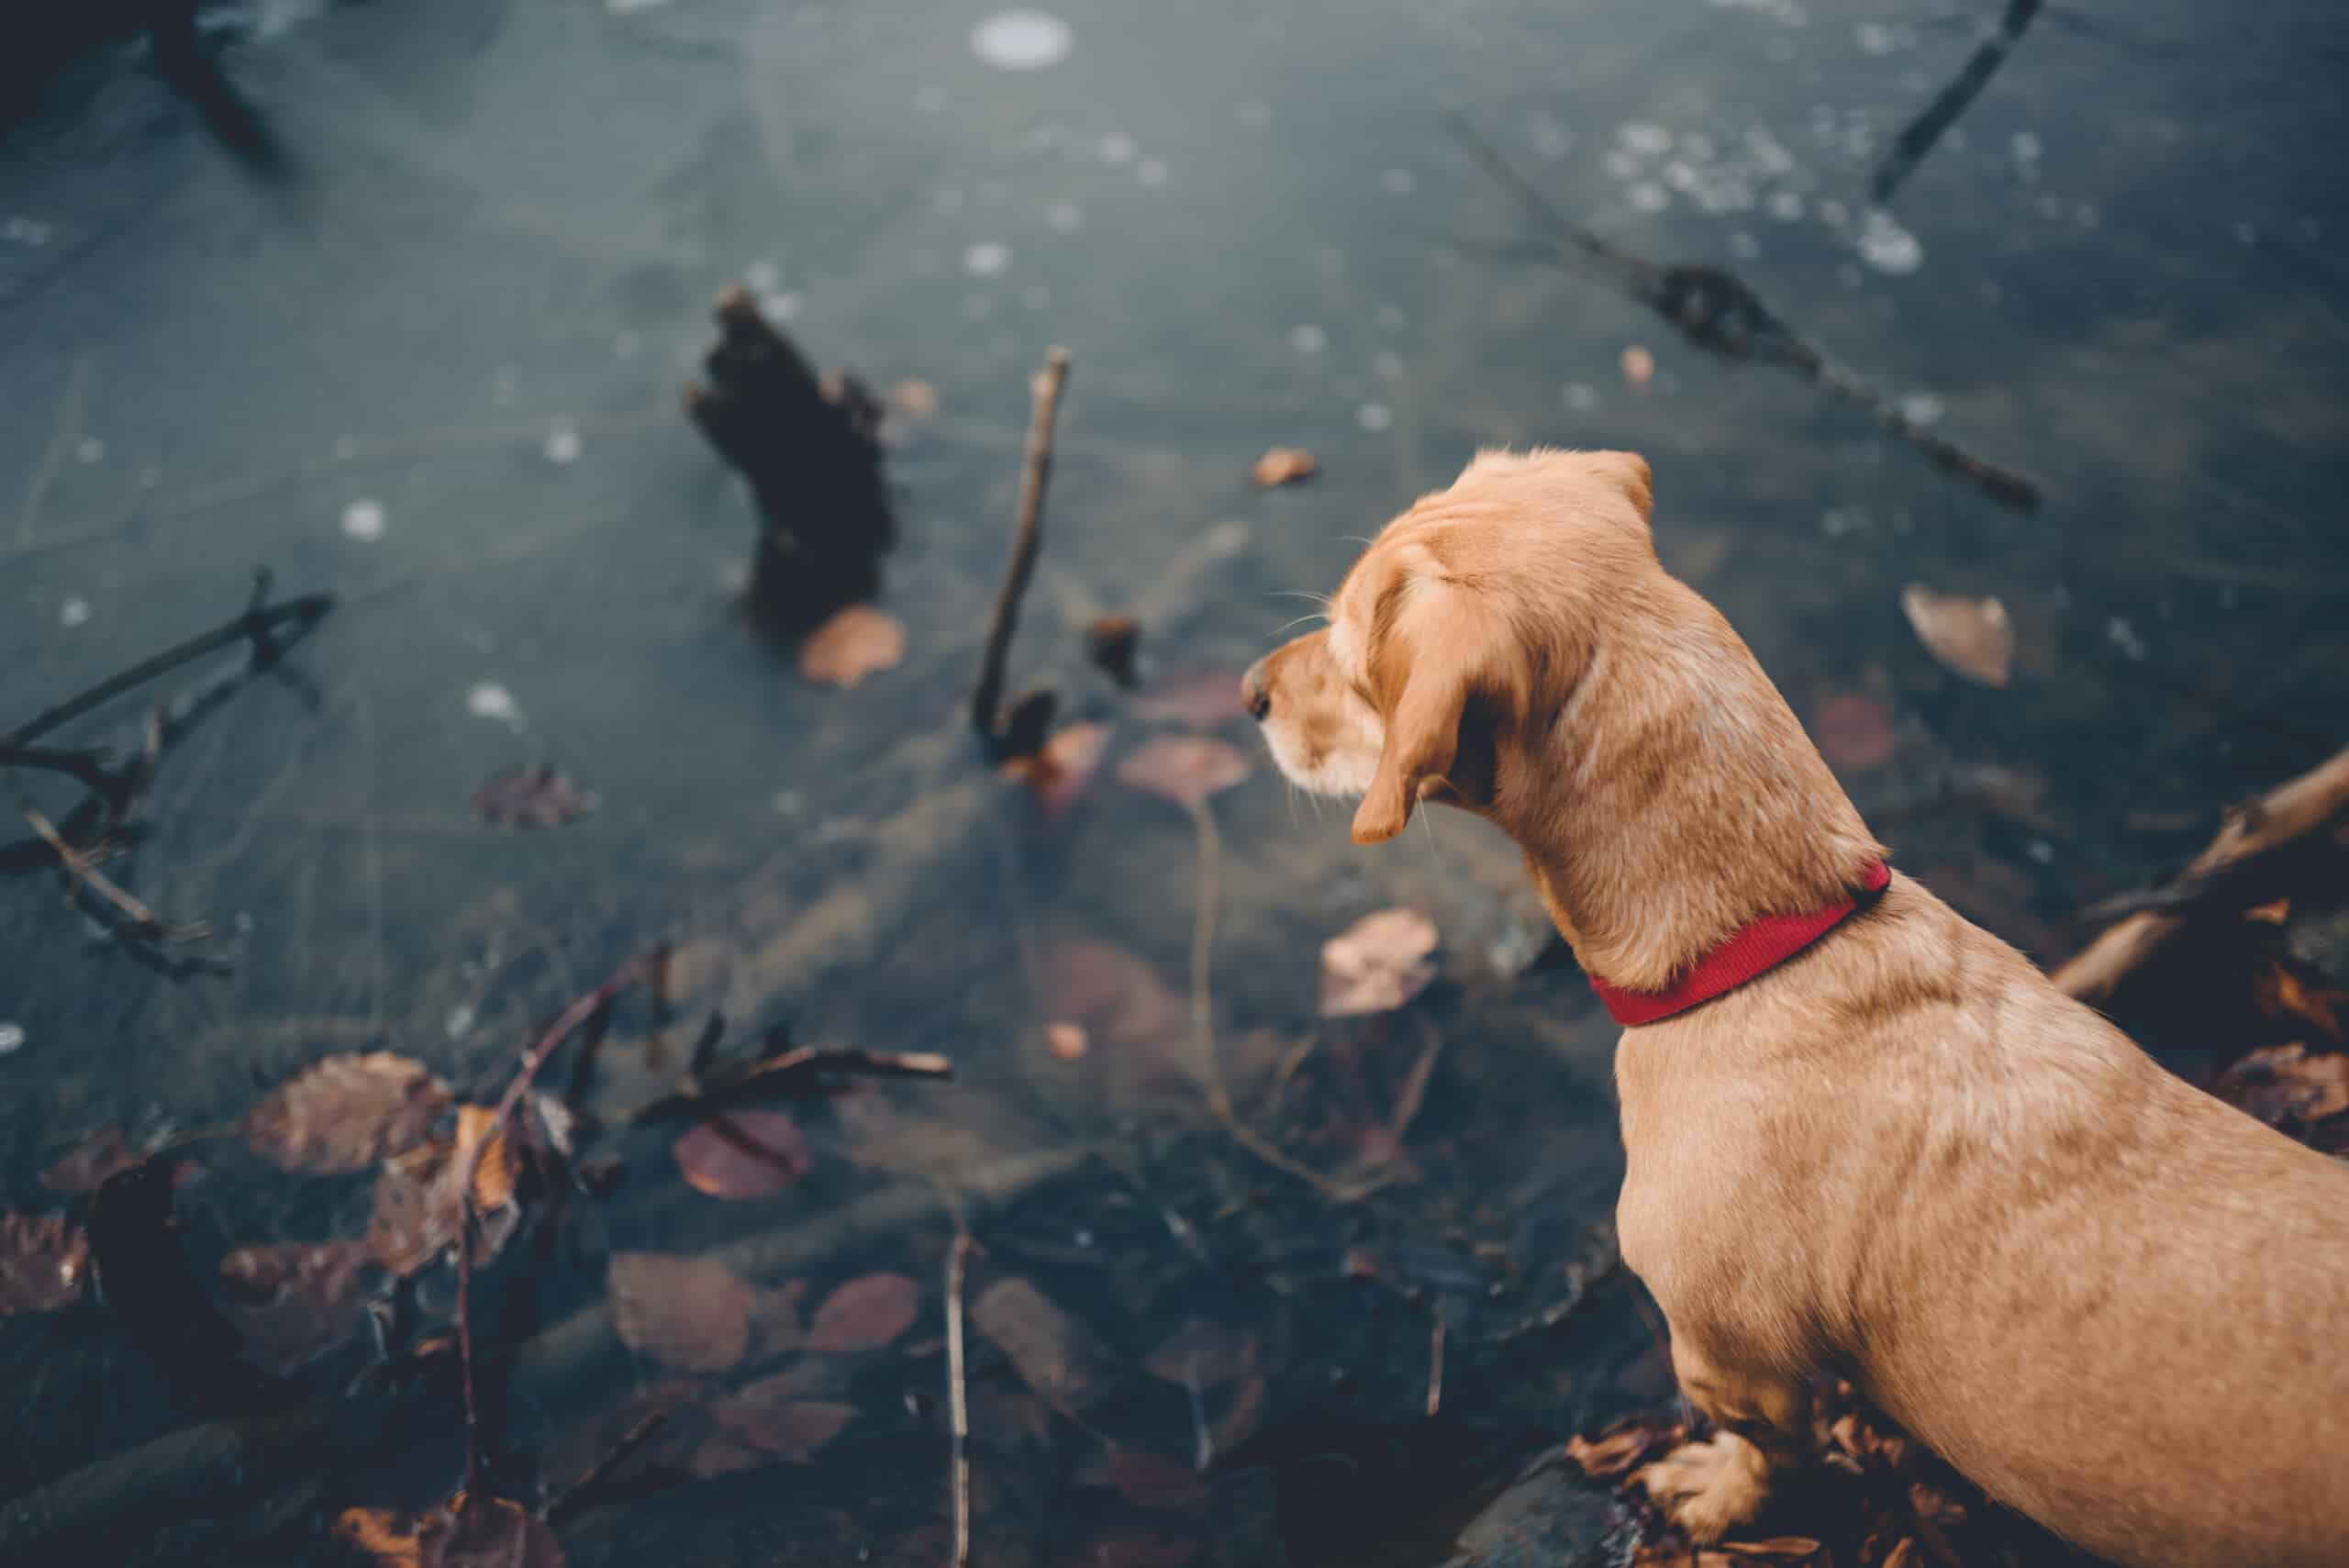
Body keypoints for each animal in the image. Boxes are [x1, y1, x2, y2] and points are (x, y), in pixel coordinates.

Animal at [1240, 450, 2349, 1568]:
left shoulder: (1729, 1358)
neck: (1775, 945)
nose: (1246, 694)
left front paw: (1715, 1499)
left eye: (1351, 657)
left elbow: (1770, 1449)